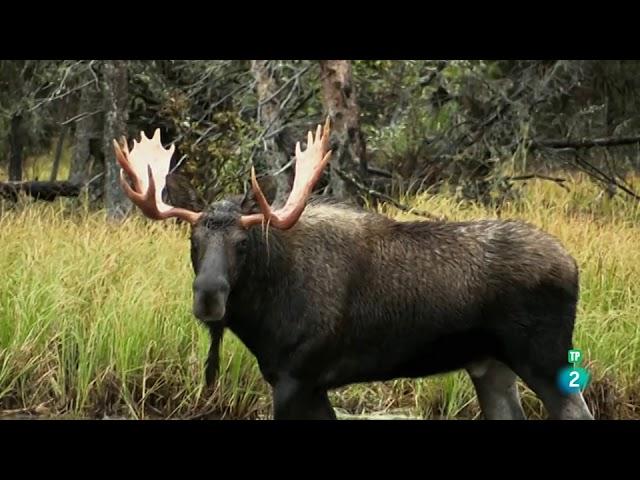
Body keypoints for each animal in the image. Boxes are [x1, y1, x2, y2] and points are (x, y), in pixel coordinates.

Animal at [111, 119, 596, 420]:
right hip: (490, 365)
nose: (209, 295)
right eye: (193, 241)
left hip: (544, 357)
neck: (262, 313)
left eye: (243, 244)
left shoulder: (296, 378)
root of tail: (573, 265)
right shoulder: (310, 385)